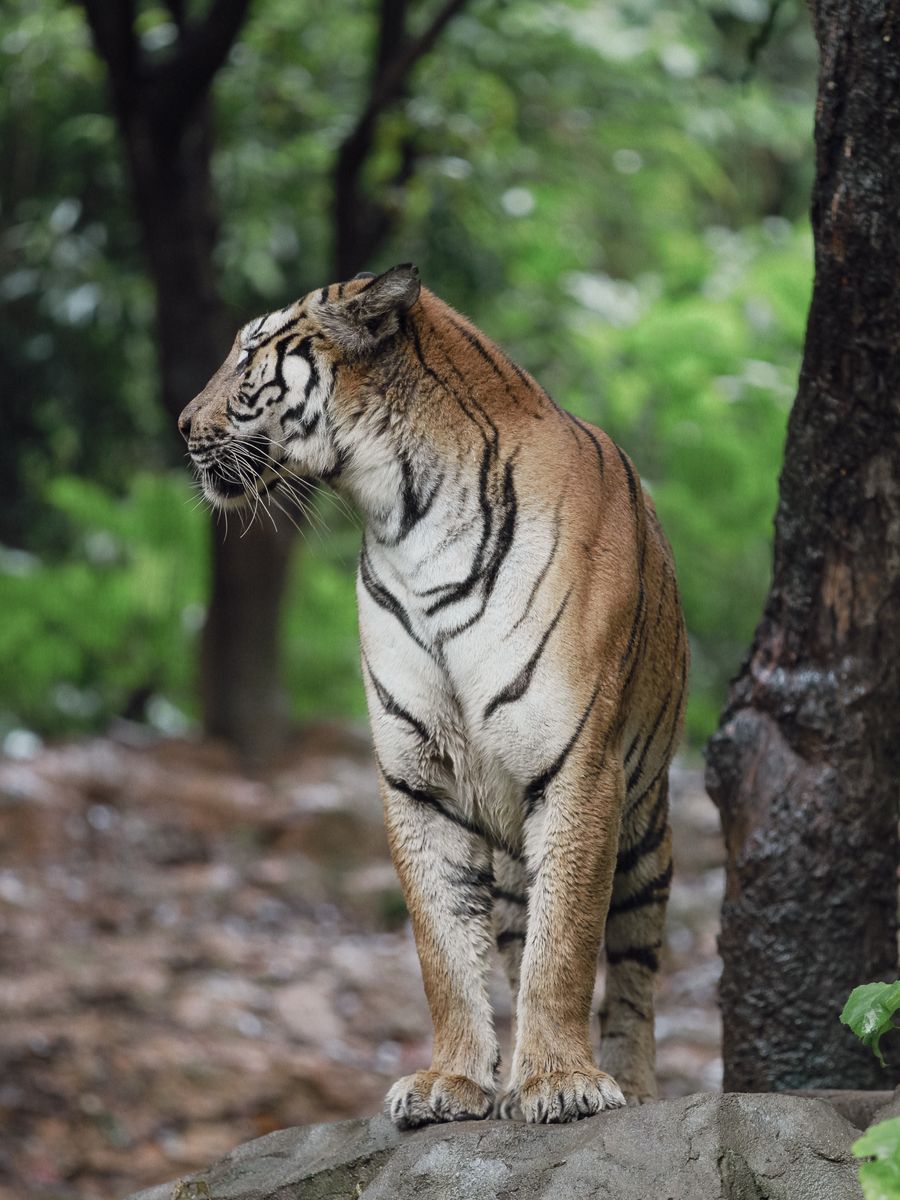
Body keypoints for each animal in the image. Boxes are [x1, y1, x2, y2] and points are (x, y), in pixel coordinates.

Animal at [179, 264, 688, 1126]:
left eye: (249, 354)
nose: (183, 425)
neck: (401, 516)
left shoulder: (580, 768)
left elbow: (566, 944)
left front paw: (562, 1082)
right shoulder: (418, 779)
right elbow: (443, 946)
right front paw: (453, 1080)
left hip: (645, 827)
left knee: (633, 967)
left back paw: (632, 1082)